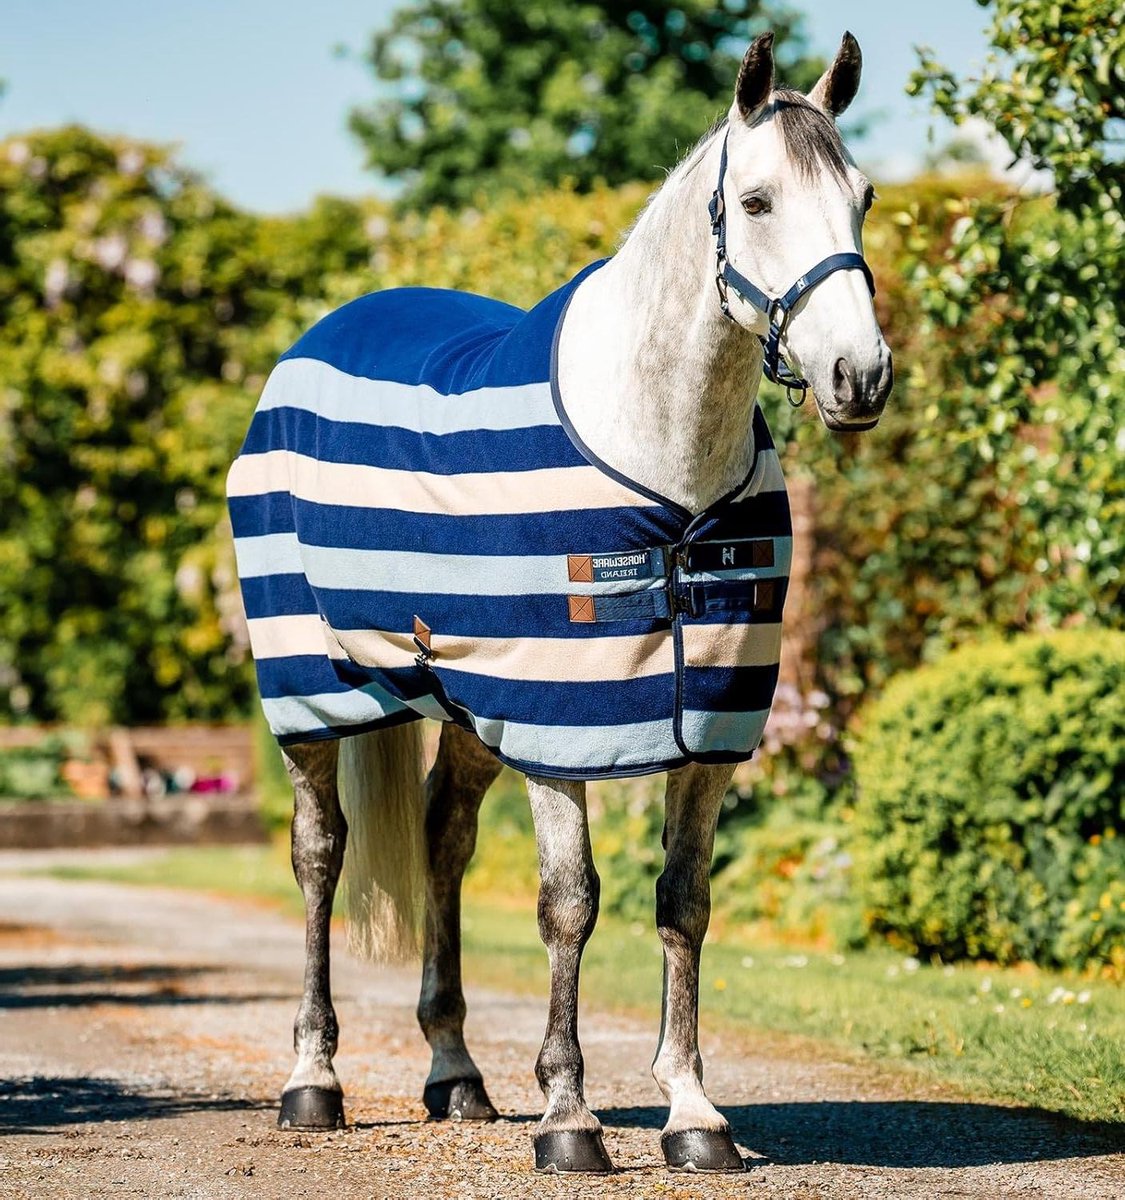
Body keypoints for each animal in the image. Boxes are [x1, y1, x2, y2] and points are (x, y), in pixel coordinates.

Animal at [227, 30, 892, 1174]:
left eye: (863, 197)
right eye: (757, 201)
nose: (860, 376)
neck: (664, 473)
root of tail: (318, 335)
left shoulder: (705, 731)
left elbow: (683, 904)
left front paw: (693, 1113)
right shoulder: (560, 726)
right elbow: (569, 905)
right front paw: (571, 1117)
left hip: (464, 701)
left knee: (444, 838)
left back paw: (456, 1074)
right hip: (312, 691)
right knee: (319, 857)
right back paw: (313, 1079)